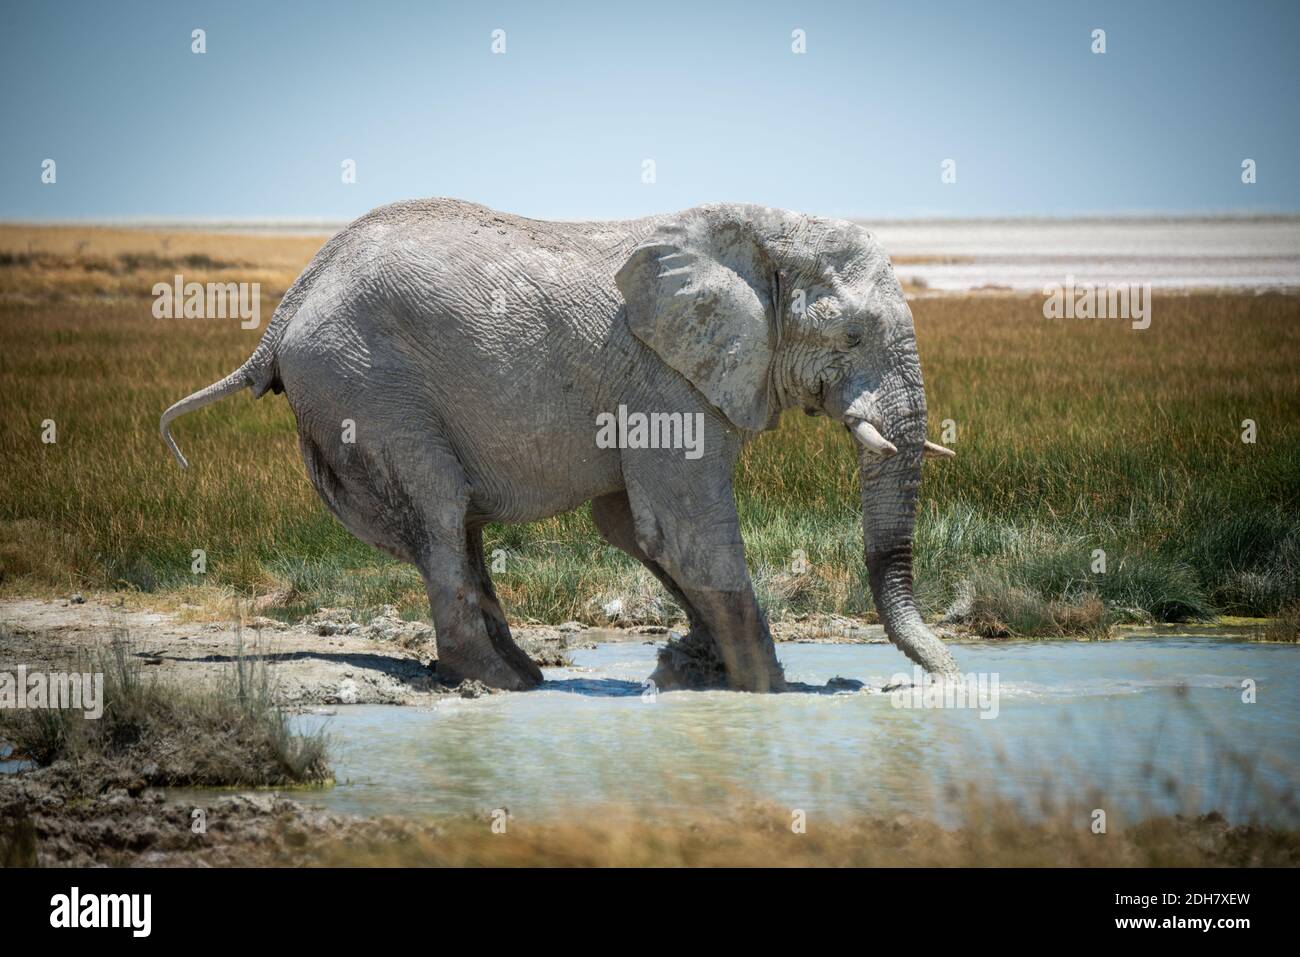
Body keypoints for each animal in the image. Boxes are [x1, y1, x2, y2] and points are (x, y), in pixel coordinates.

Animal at [161, 198, 958, 692]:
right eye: (850, 336)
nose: (948, 677)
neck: (762, 232)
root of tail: (287, 304)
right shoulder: (664, 375)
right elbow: (683, 530)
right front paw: (765, 690)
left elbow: (631, 525)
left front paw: (692, 669)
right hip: (363, 384)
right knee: (439, 513)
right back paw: (496, 681)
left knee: (453, 526)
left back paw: (519, 672)